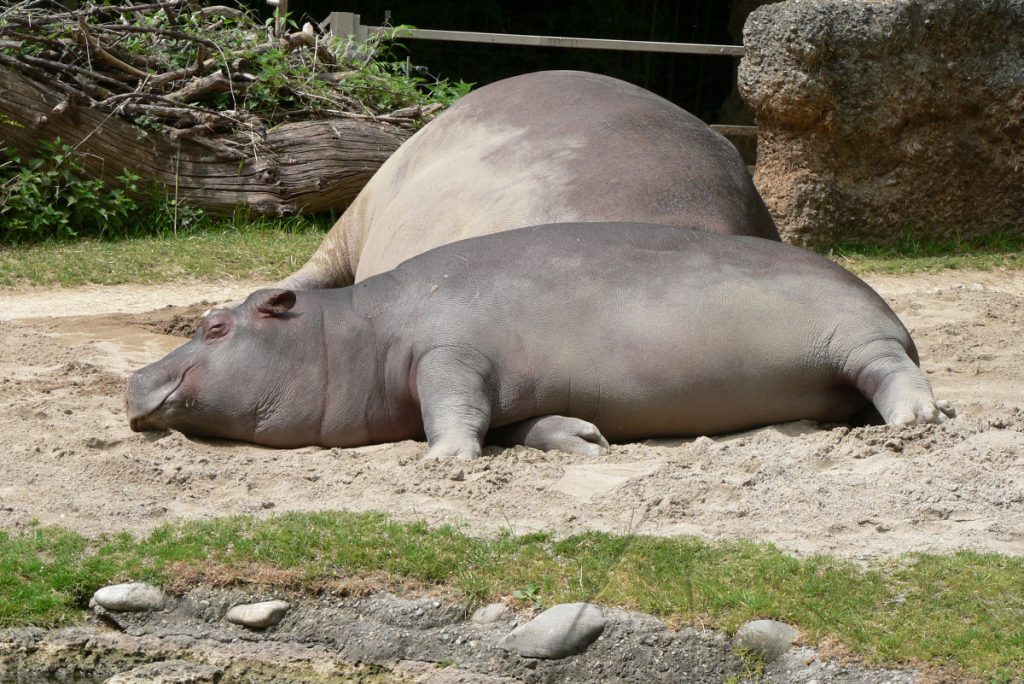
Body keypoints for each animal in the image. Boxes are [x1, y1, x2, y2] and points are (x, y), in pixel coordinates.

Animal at [128, 224, 950, 458]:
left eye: (215, 325)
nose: (134, 376)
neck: (348, 331)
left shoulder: (450, 356)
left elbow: (452, 405)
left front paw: (444, 462)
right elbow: (513, 422)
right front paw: (585, 437)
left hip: (859, 338)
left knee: (893, 373)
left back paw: (917, 423)